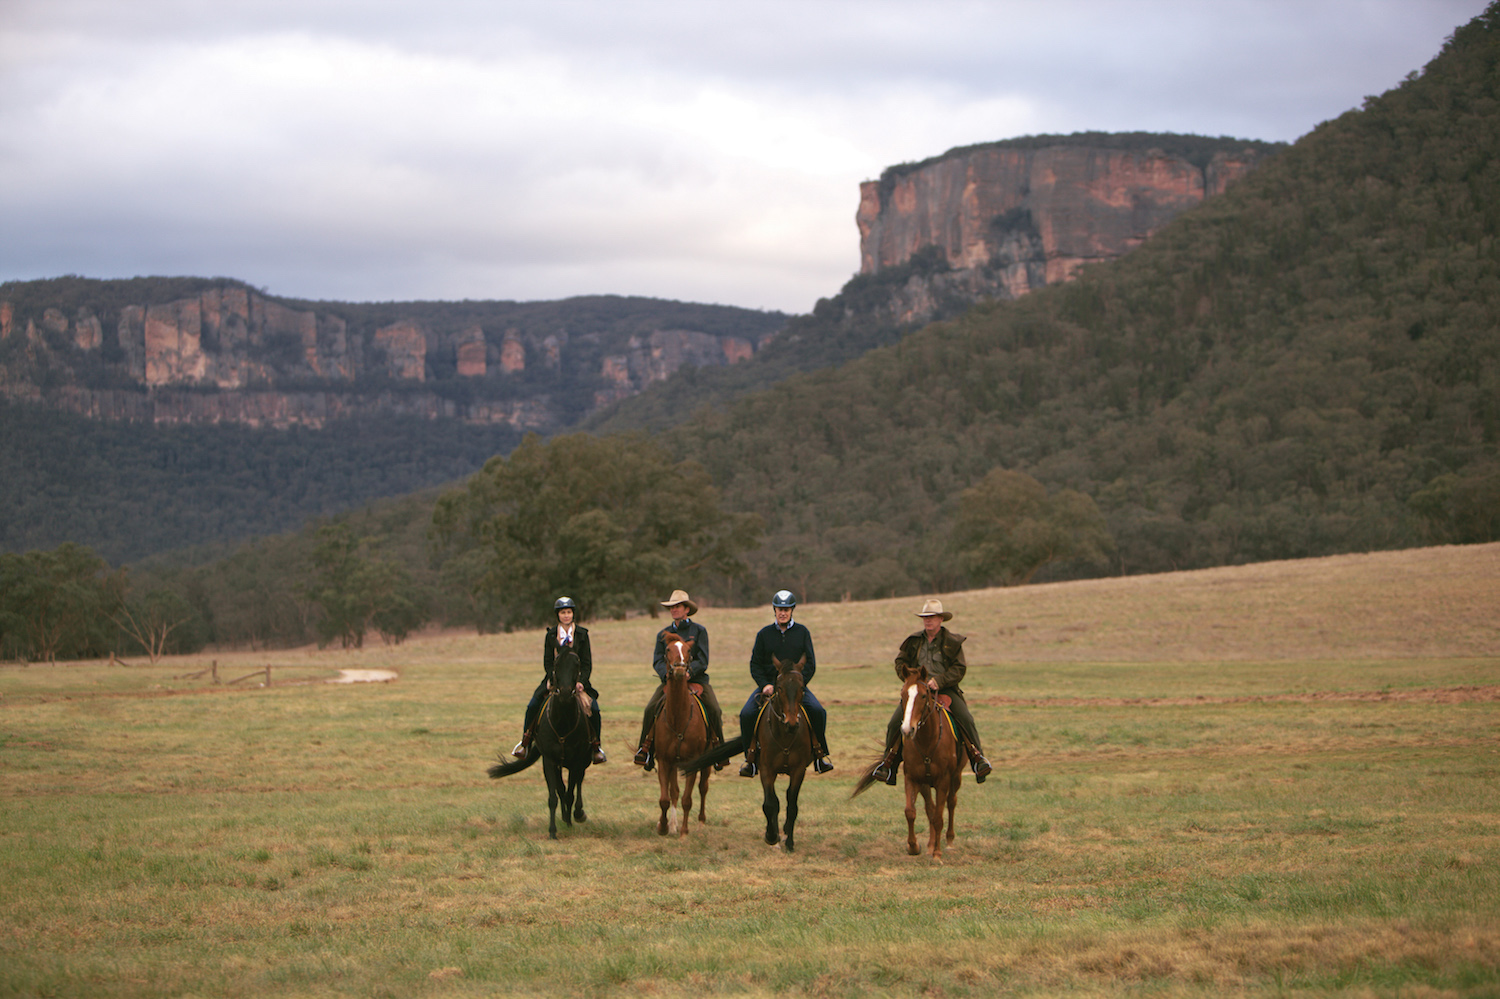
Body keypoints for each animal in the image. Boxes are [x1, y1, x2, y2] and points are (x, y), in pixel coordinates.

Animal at [651, 633, 708, 834]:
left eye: (688, 650)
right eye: (668, 649)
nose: (680, 670)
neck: (679, 718)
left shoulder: (694, 761)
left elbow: (687, 799)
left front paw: (684, 831)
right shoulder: (664, 761)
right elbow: (665, 798)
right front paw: (663, 826)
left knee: (703, 788)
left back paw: (700, 821)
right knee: (674, 791)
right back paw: (672, 825)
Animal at [756, 654, 816, 846]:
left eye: (801, 687)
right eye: (780, 688)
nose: (791, 723)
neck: (785, 736)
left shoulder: (799, 770)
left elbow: (792, 805)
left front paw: (789, 840)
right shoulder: (766, 769)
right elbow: (770, 804)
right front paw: (771, 835)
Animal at [888, 660, 960, 858]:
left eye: (922, 695)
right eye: (903, 694)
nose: (907, 730)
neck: (928, 740)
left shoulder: (944, 780)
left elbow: (939, 817)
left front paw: (937, 854)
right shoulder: (912, 777)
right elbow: (911, 812)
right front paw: (914, 846)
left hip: (956, 777)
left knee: (951, 803)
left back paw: (949, 841)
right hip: (926, 784)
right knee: (931, 808)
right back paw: (930, 844)